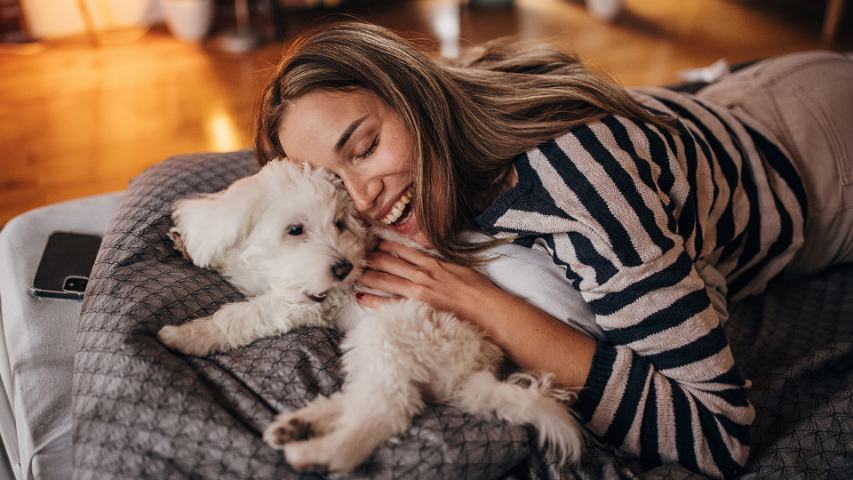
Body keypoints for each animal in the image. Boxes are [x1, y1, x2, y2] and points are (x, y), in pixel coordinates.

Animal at [156, 160, 584, 472]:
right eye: (295, 230)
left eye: (339, 223)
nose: (344, 268)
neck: (279, 271)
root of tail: (474, 371)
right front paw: (190, 244)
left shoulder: (306, 302)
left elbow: (240, 315)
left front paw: (188, 335)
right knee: (366, 400)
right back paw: (304, 424)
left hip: (387, 335)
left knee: (383, 412)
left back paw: (320, 453)